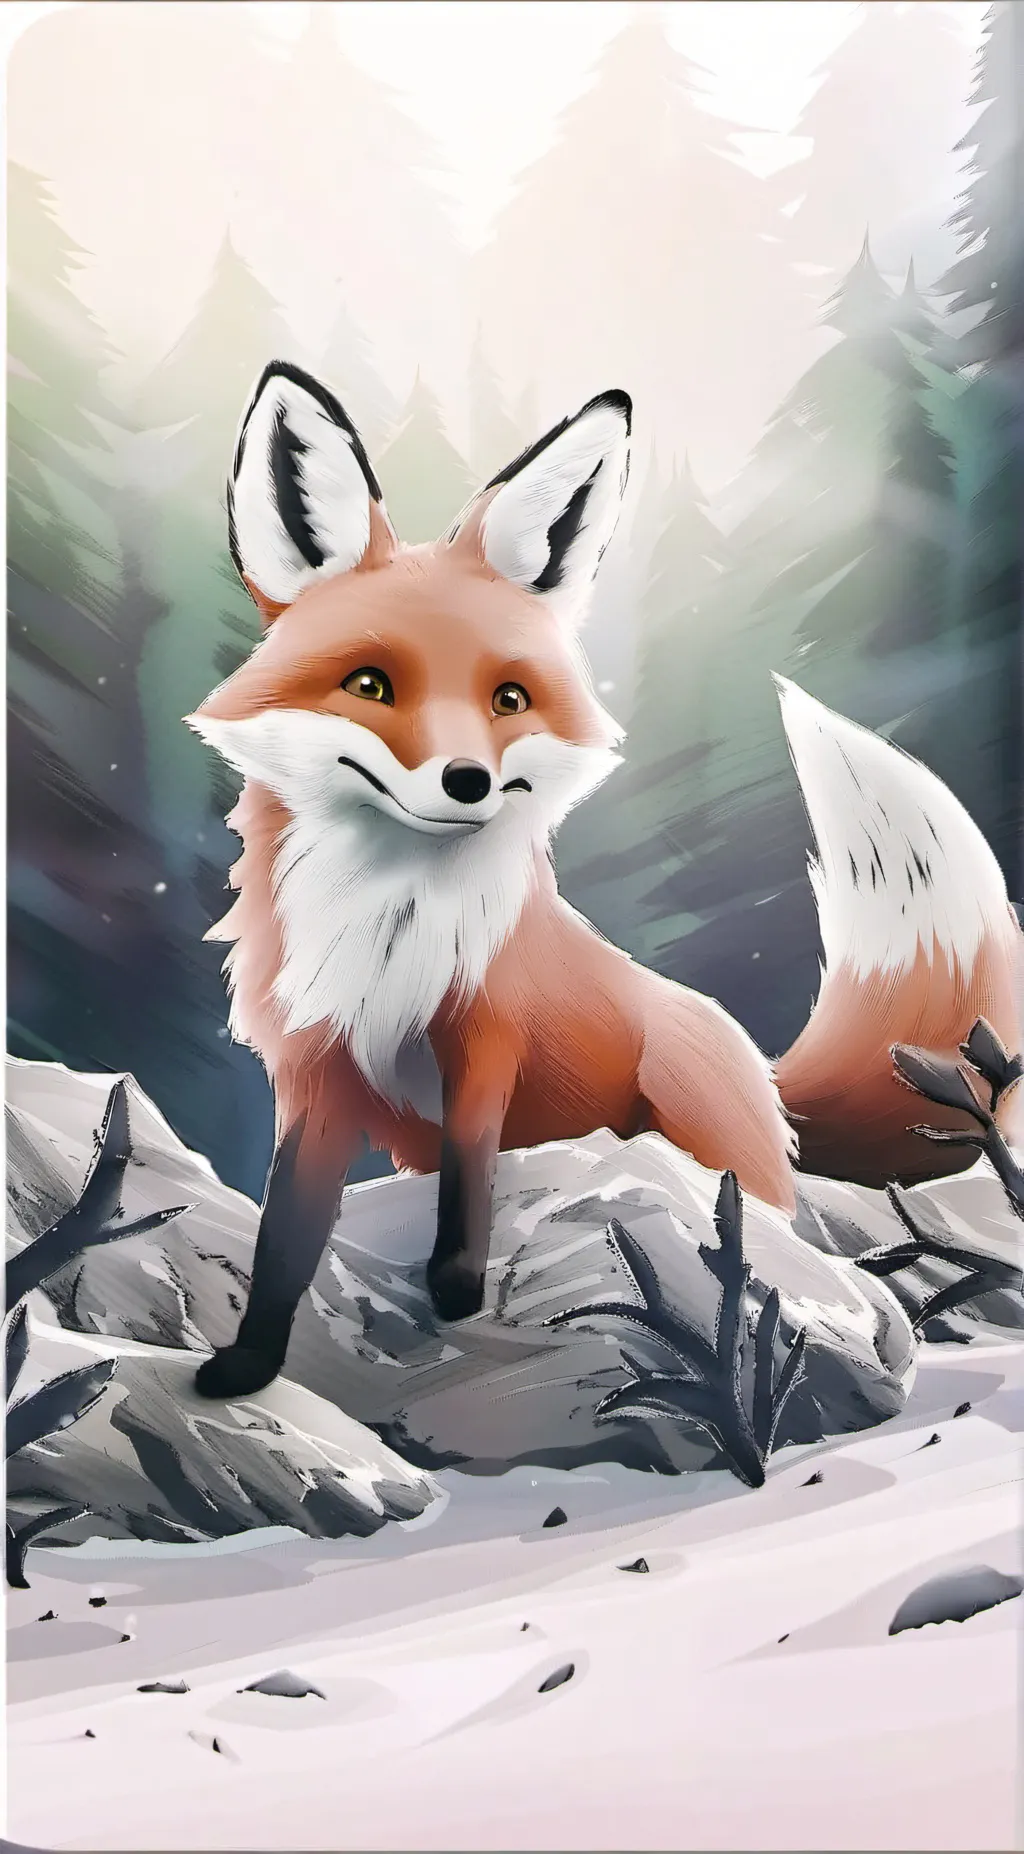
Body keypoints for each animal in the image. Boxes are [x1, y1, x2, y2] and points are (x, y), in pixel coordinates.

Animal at [190, 359, 1023, 1401]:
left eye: (508, 698)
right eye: (371, 685)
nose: (467, 781)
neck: (391, 930)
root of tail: (763, 1073)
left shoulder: (487, 1043)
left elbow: (470, 1181)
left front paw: (456, 1292)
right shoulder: (315, 1074)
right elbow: (286, 1235)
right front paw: (250, 1361)